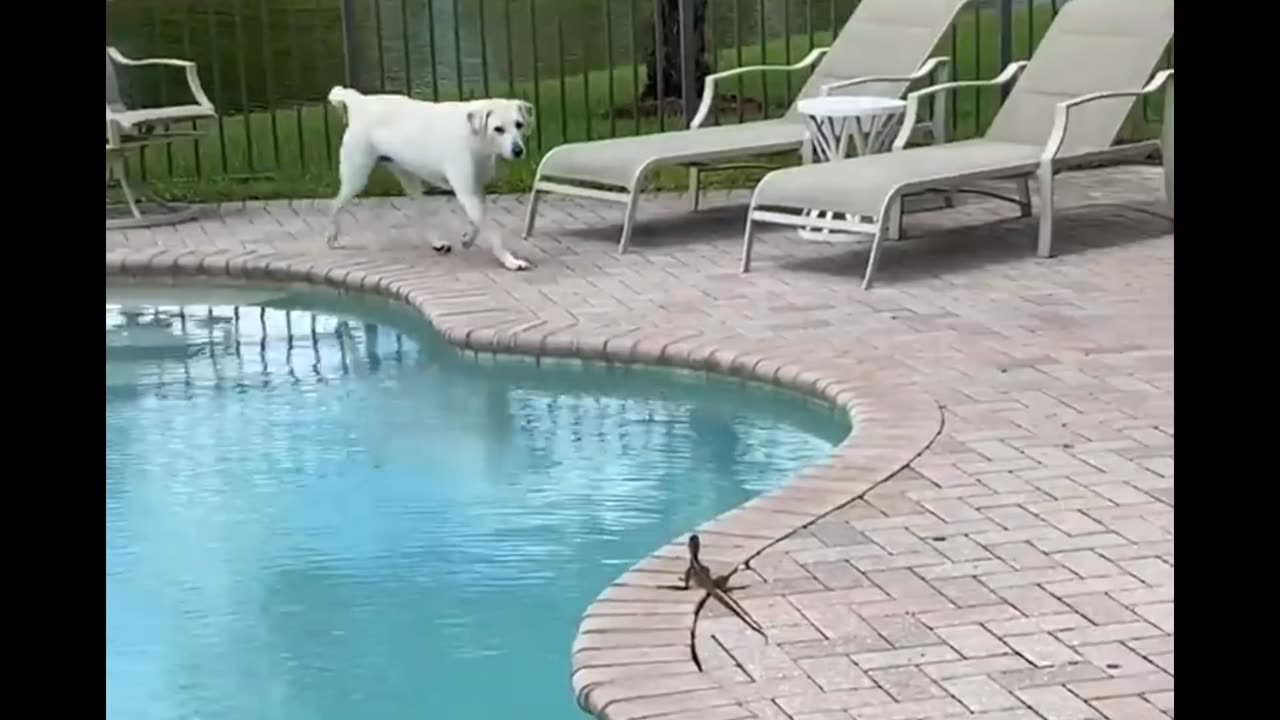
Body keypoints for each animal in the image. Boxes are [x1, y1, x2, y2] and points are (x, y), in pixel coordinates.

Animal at [330, 87, 535, 270]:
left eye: (519, 125)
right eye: (498, 129)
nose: (518, 151)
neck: (474, 135)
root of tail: (361, 101)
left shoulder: (477, 190)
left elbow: (477, 224)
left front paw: (468, 240)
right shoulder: (467, 193)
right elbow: (492, 232)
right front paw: (510, 261)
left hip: (409, 179)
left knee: (420, 214)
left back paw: (436, 243)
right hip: (356, 179)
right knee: (335, 205)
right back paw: (332, 237)